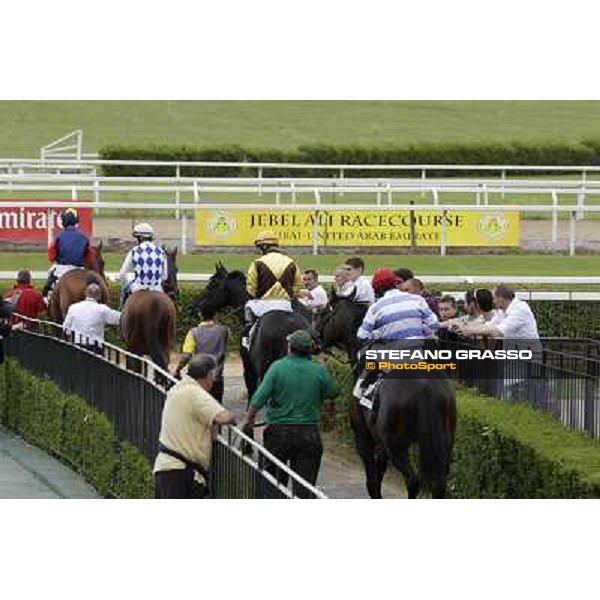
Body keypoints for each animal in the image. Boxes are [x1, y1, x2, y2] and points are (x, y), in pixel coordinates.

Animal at [316, 294, 458, 496]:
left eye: (324, 313)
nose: (314, 335)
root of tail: (425, 388)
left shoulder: (364, 436)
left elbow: (372, 481)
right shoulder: (381, 444)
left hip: (396, 445)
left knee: (412, 480)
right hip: (443, 442)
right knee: (438, 484)